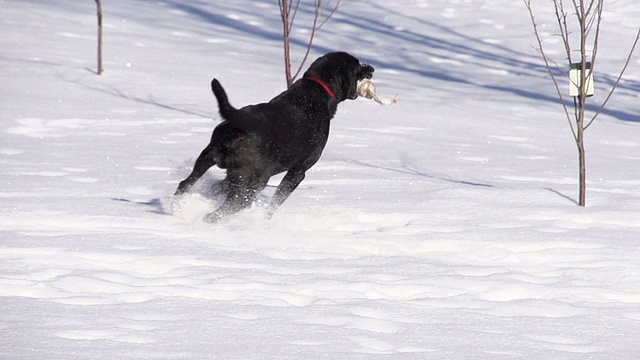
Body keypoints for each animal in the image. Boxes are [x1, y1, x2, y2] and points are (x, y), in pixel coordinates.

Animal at [175, 51, 376, 221]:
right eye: (357, 65)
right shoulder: (298, 172)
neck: (318, 89)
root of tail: (242, 121)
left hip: (207, 157)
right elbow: (275, 203)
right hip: (253, 182)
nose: (372, 68)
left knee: (185, 184)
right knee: (222, 211)